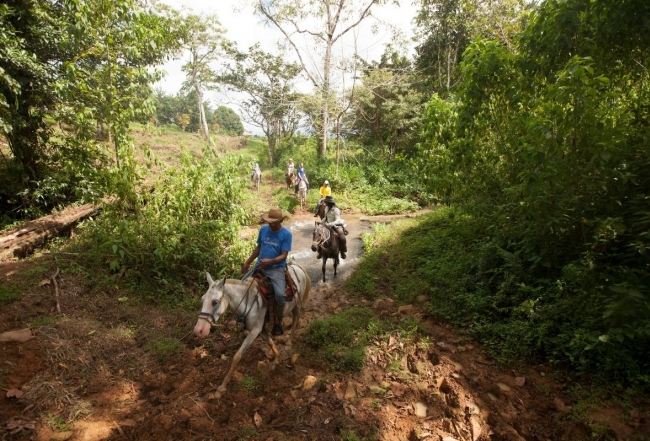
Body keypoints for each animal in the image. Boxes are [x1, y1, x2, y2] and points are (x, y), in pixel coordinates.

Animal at [192, 264, 308, 398]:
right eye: (202, 299)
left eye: (215, 302)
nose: (199, 330)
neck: (247, 302)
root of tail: (297, 267)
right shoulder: (260, 328)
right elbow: (270, 342)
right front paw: (277, 360)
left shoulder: (254, 331)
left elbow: (237, 356)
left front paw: (221, 388)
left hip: (297, 305)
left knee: (296, 318)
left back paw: (289, 341)